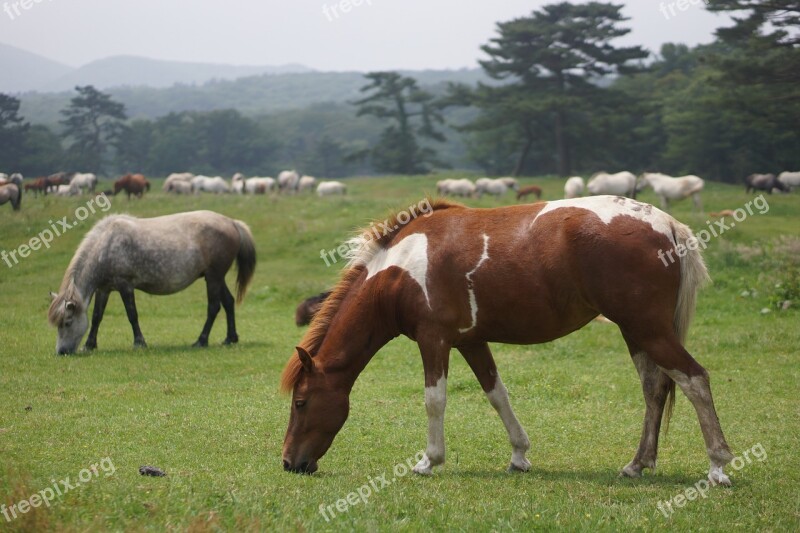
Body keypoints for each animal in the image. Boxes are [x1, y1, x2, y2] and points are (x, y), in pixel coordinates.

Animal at [47, 211, 258, 354]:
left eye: (67, 322)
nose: (62, 352)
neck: (105, 245)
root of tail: (232, 222)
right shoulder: (104, 289)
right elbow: (98, 316)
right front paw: (89, 345)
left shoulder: (125, 286)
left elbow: (132, 315)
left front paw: (139, 342)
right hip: (215, 277)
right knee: (228, 302)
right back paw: (230, 338)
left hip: (213, 277)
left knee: (213, 307)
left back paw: (201, 341)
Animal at [280, 196, 732, 486]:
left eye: (300, 402)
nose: (289, 462)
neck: (399, 269)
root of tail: (666, 224)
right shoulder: (471, 342)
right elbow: (497, 394)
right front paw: (519, 455)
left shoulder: (433, 340)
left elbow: (434, 400)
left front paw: (429, 461)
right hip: (636, 332)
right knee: (655, 388)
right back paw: (637, 465)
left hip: (647, 329)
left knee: (694, 380)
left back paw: (718, 466)